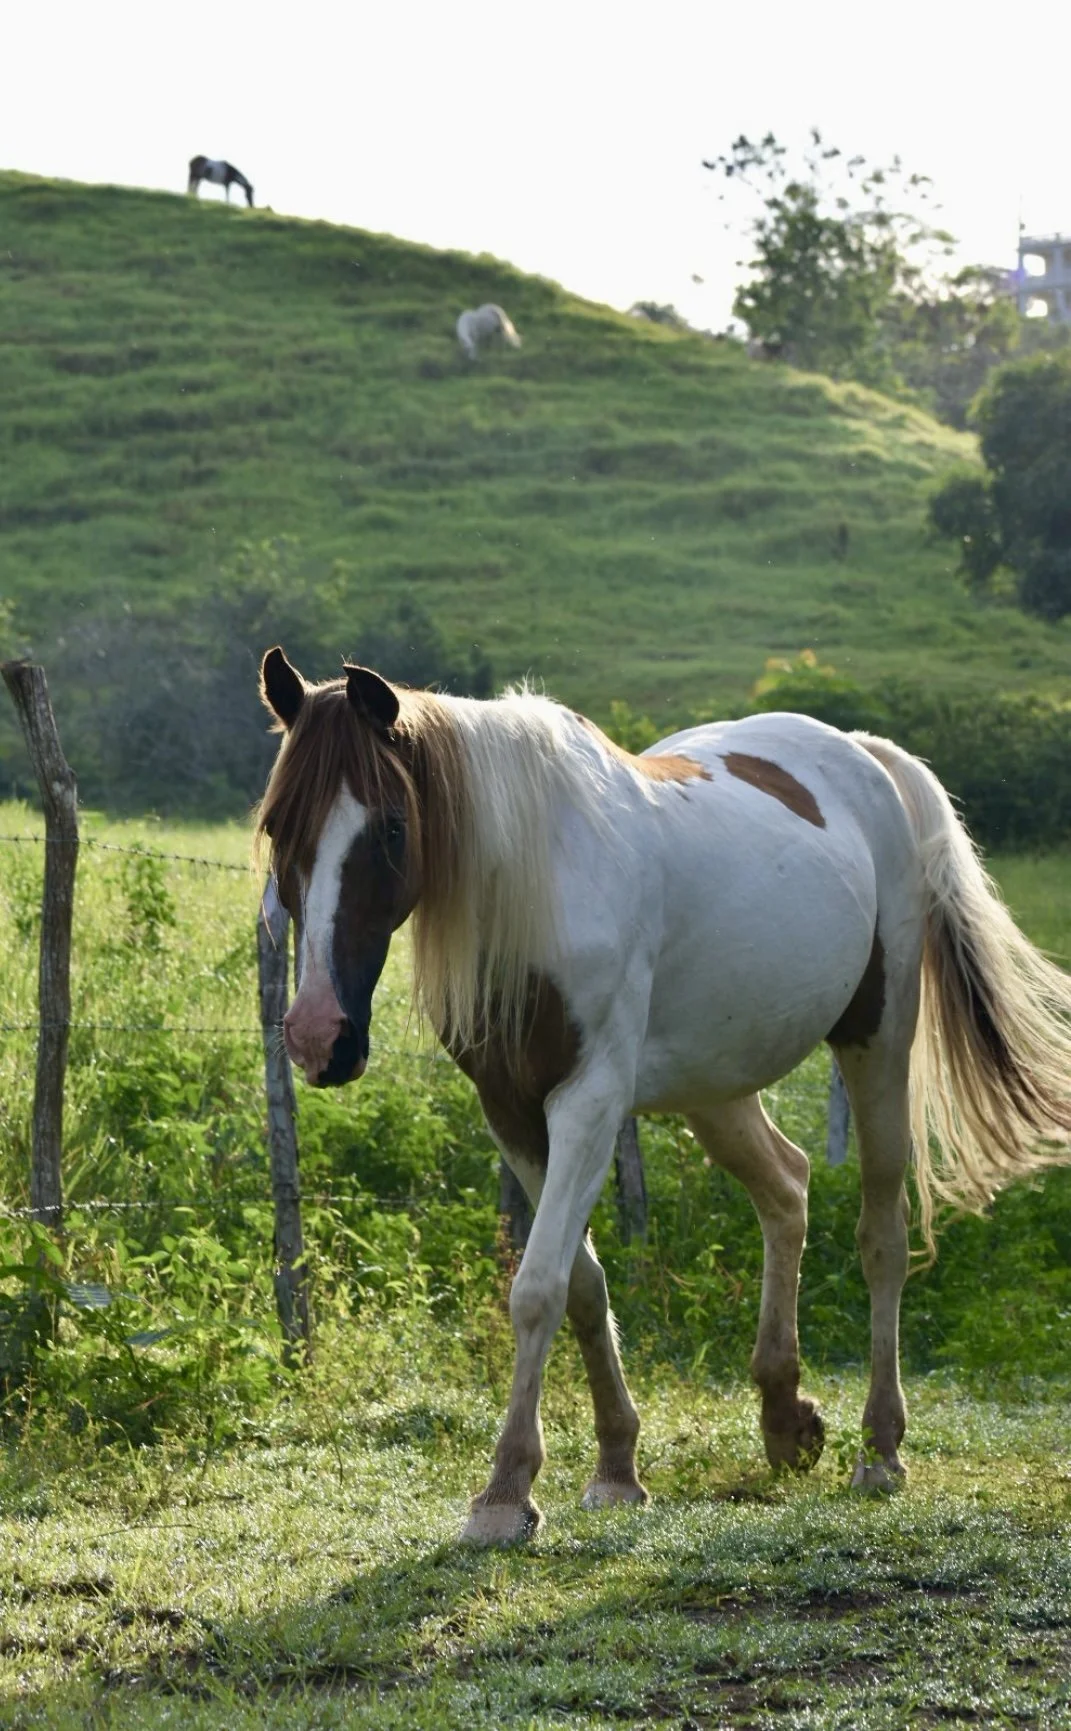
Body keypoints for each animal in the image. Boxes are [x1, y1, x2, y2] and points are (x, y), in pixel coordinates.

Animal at [256, 648, 1071, 1544]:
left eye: (392, 828)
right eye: (278, 827)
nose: (317, 1034)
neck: (538, 885)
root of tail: (860, 752)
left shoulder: (587, 1102)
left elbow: (537, 1287)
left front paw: (505, 1491)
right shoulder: (512, 1113)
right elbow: (581, 1285)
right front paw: (616, 1466)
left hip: (877, 1042)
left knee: (880, 1236)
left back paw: (880, 1448)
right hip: (715, 1087)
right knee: (786, 1187)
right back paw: (784, 1417)